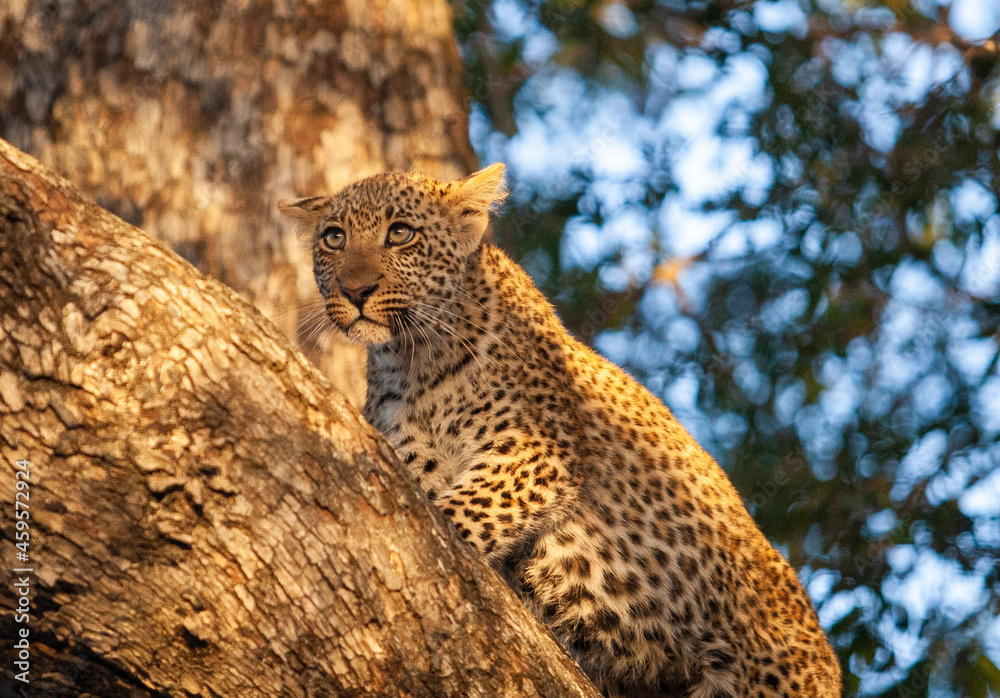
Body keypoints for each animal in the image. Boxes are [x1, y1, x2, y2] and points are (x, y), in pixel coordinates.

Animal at [279, 164, 842, 697]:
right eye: (334, 238)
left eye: (400, 233)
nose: (355, 291)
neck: (414, 360)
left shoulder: (538, 452)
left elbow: (458, 512)